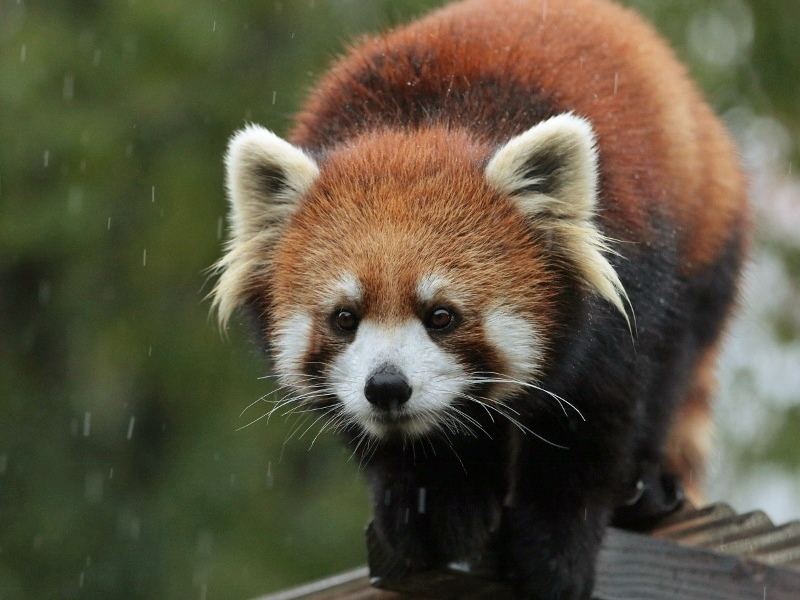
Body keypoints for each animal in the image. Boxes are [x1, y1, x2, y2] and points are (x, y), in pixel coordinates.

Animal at [212, 0, 752, 596]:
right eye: (345, 318)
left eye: (442, 316)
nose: (386, 386)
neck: (420, 122)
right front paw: (429, 504)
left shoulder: (625, 289)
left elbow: (596, 419)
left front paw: (557, 546)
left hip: (703, 242)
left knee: (673, 363)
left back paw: (646, 486)